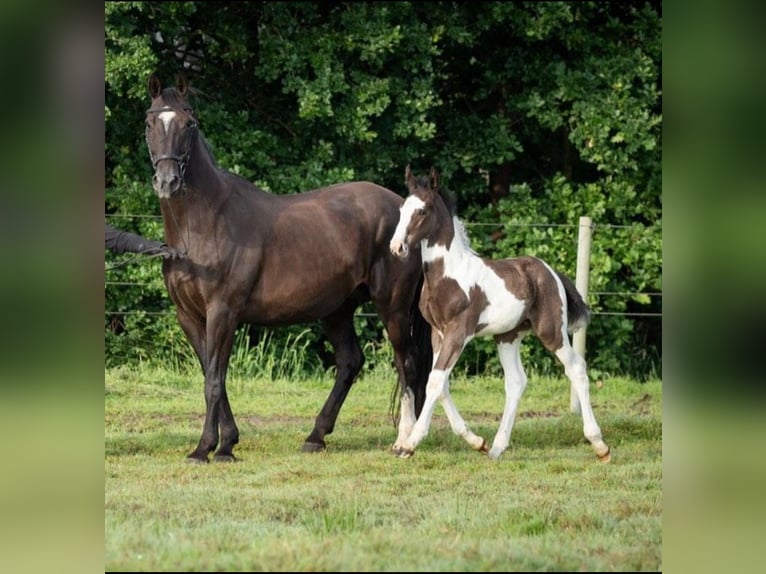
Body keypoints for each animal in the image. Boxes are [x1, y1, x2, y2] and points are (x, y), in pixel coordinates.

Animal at [144, 75, 432, 464]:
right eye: (149, 123)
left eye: (190, 125)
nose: (168, 181)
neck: (205, 224)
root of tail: (403, 210)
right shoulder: (188, 316)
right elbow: (212, 375)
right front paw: (227, 443)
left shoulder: (223, 312)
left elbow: (214, 381)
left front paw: (205, 448)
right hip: (338, 309)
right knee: (350, 362)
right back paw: (316, 436)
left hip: (393, 307)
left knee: (407, 365)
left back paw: (404, 441)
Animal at [390, 166, 612, 464]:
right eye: (403, 209)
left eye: (422, 211)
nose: (396, 247)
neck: (448, 275)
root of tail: (550, 272)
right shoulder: (439, 334)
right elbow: (440, 383)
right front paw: (476, 441)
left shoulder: (459, 333)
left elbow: (436, 381)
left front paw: (409, 444)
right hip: (507, 336)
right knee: (516, 382)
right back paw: (496, 447)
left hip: (551, 331)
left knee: (576, 368)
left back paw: (599, 444)